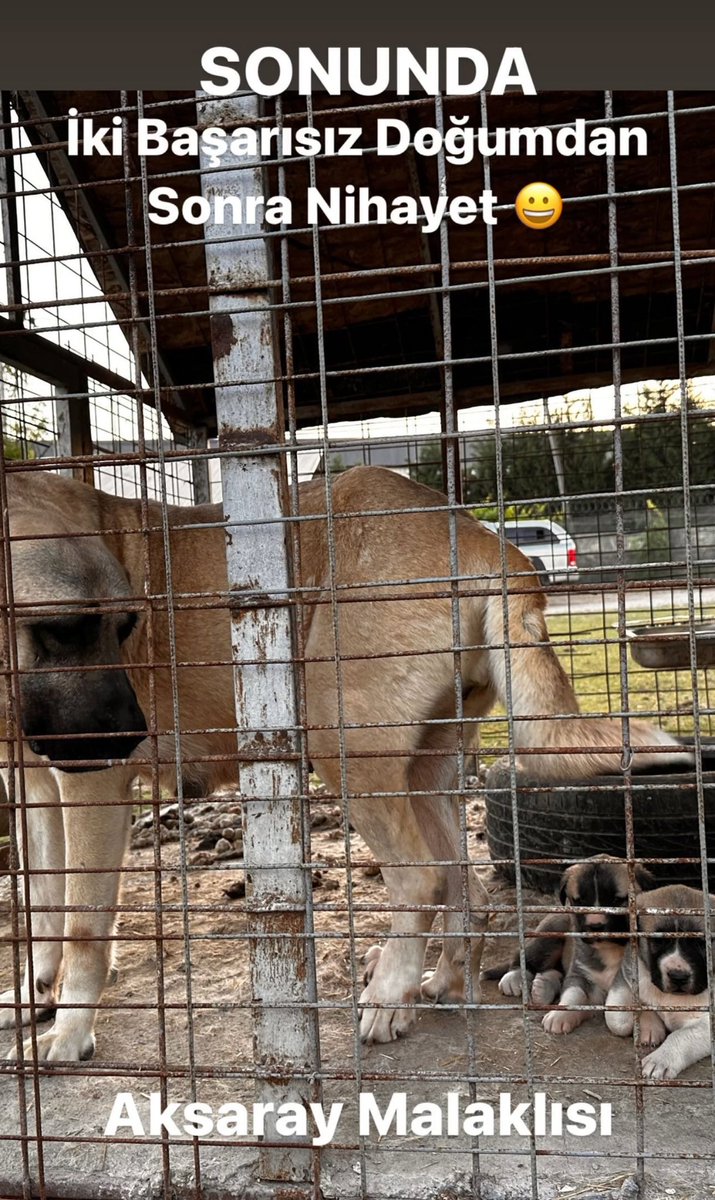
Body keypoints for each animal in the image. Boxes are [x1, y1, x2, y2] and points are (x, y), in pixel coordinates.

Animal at [482, 859, 657, 1036]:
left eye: (616, 900)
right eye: (579, 901)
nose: (595, 926)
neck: (610, 949)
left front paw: (649, 1028)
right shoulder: (580, 974)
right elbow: (573, 994)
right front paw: (559, 1015)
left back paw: (542, 987)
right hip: (550, 934)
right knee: (526, 956)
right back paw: (514, 978)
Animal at [602, 888, 715, 1084]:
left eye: (701, 943)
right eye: (659, 941)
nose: (678, 976)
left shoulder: (708, 1023)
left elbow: (681, 1035)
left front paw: (660, 1059)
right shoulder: (627, 973)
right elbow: (617, 1019)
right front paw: (648, 1024)